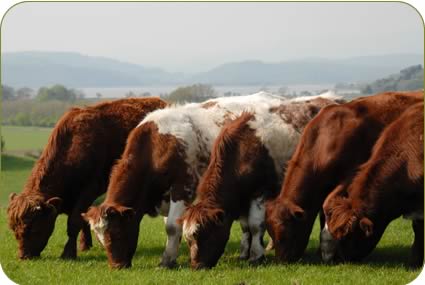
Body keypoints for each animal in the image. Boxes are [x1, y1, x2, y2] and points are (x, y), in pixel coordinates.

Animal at [7, 97, 166, 260]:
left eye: (35, 228)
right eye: (13, 228)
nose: (24, 256)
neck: (72, 147)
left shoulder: (89, 189)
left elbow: (74, 222)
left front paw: (68, 253)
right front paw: (85, 246)